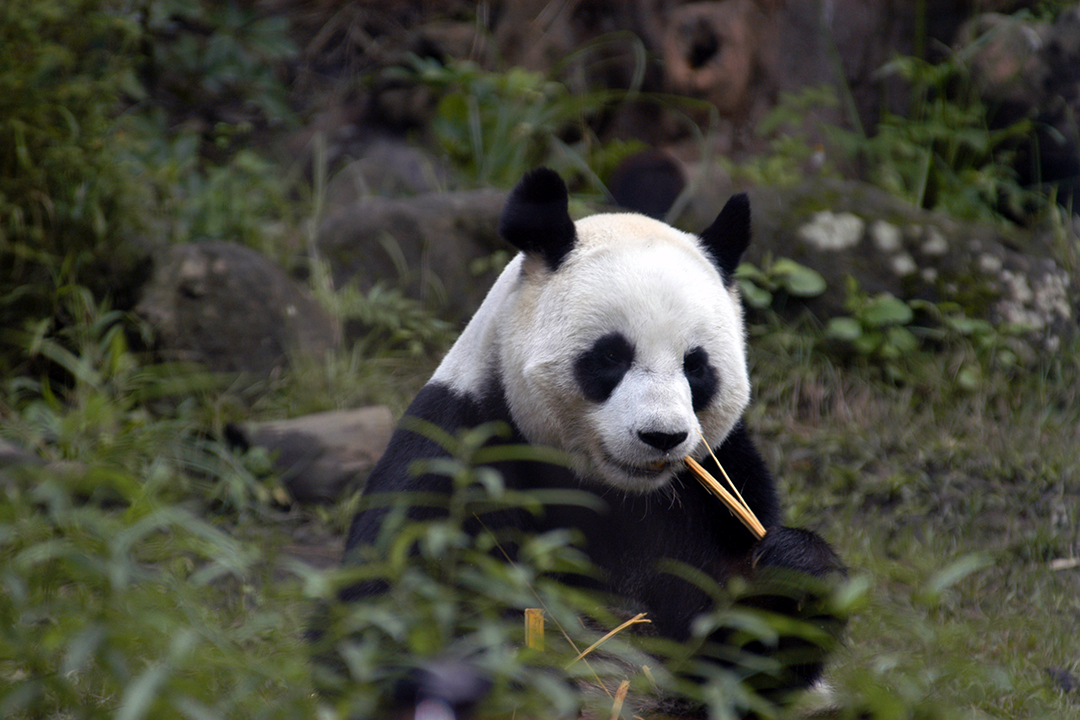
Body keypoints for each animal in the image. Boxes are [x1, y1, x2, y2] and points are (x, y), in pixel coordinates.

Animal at [340, 167, 844, 707]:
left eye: (697, 366)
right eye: (610, 357)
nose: (662, 437)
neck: (618, 493)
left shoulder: (718, 486)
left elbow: (747, 663)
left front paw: (794, 568)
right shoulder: (455, 453)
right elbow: (384, 623)